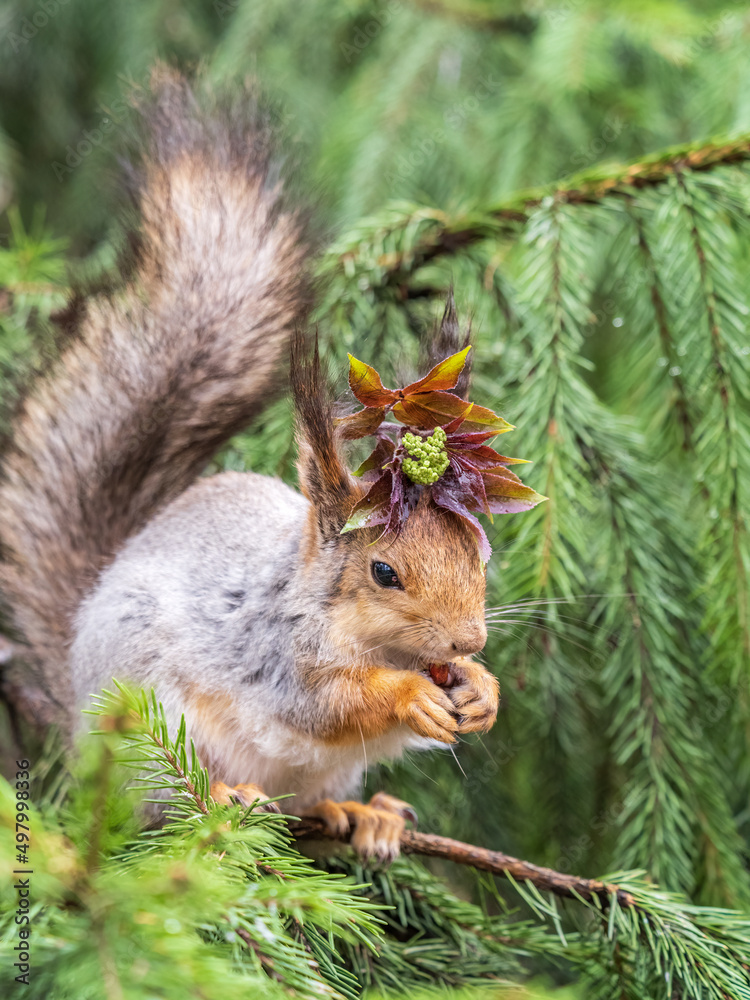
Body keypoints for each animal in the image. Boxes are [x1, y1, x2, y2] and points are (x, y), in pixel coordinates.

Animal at [0, 69, 498, 862]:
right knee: (168, 801)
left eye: (479, 552)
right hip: (145, 719)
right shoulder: (275, 652)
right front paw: (408, 696)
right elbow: (329, 704)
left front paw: (481, 689)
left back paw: (361, 814)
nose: (468, 641)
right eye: (383, 573)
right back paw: (227, 798)